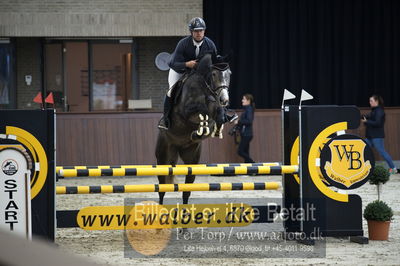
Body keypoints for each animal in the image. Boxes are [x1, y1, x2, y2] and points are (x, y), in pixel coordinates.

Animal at [155, 53, 231, 204]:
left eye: (229, 74)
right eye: (214, 74)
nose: (224, 100)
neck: (204, 88)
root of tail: (177, 147)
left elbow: (215, 117)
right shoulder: (186, 110)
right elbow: (201, 107)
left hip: (191, 159)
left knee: (186, 190)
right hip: (163, 157)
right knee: (162, 188)